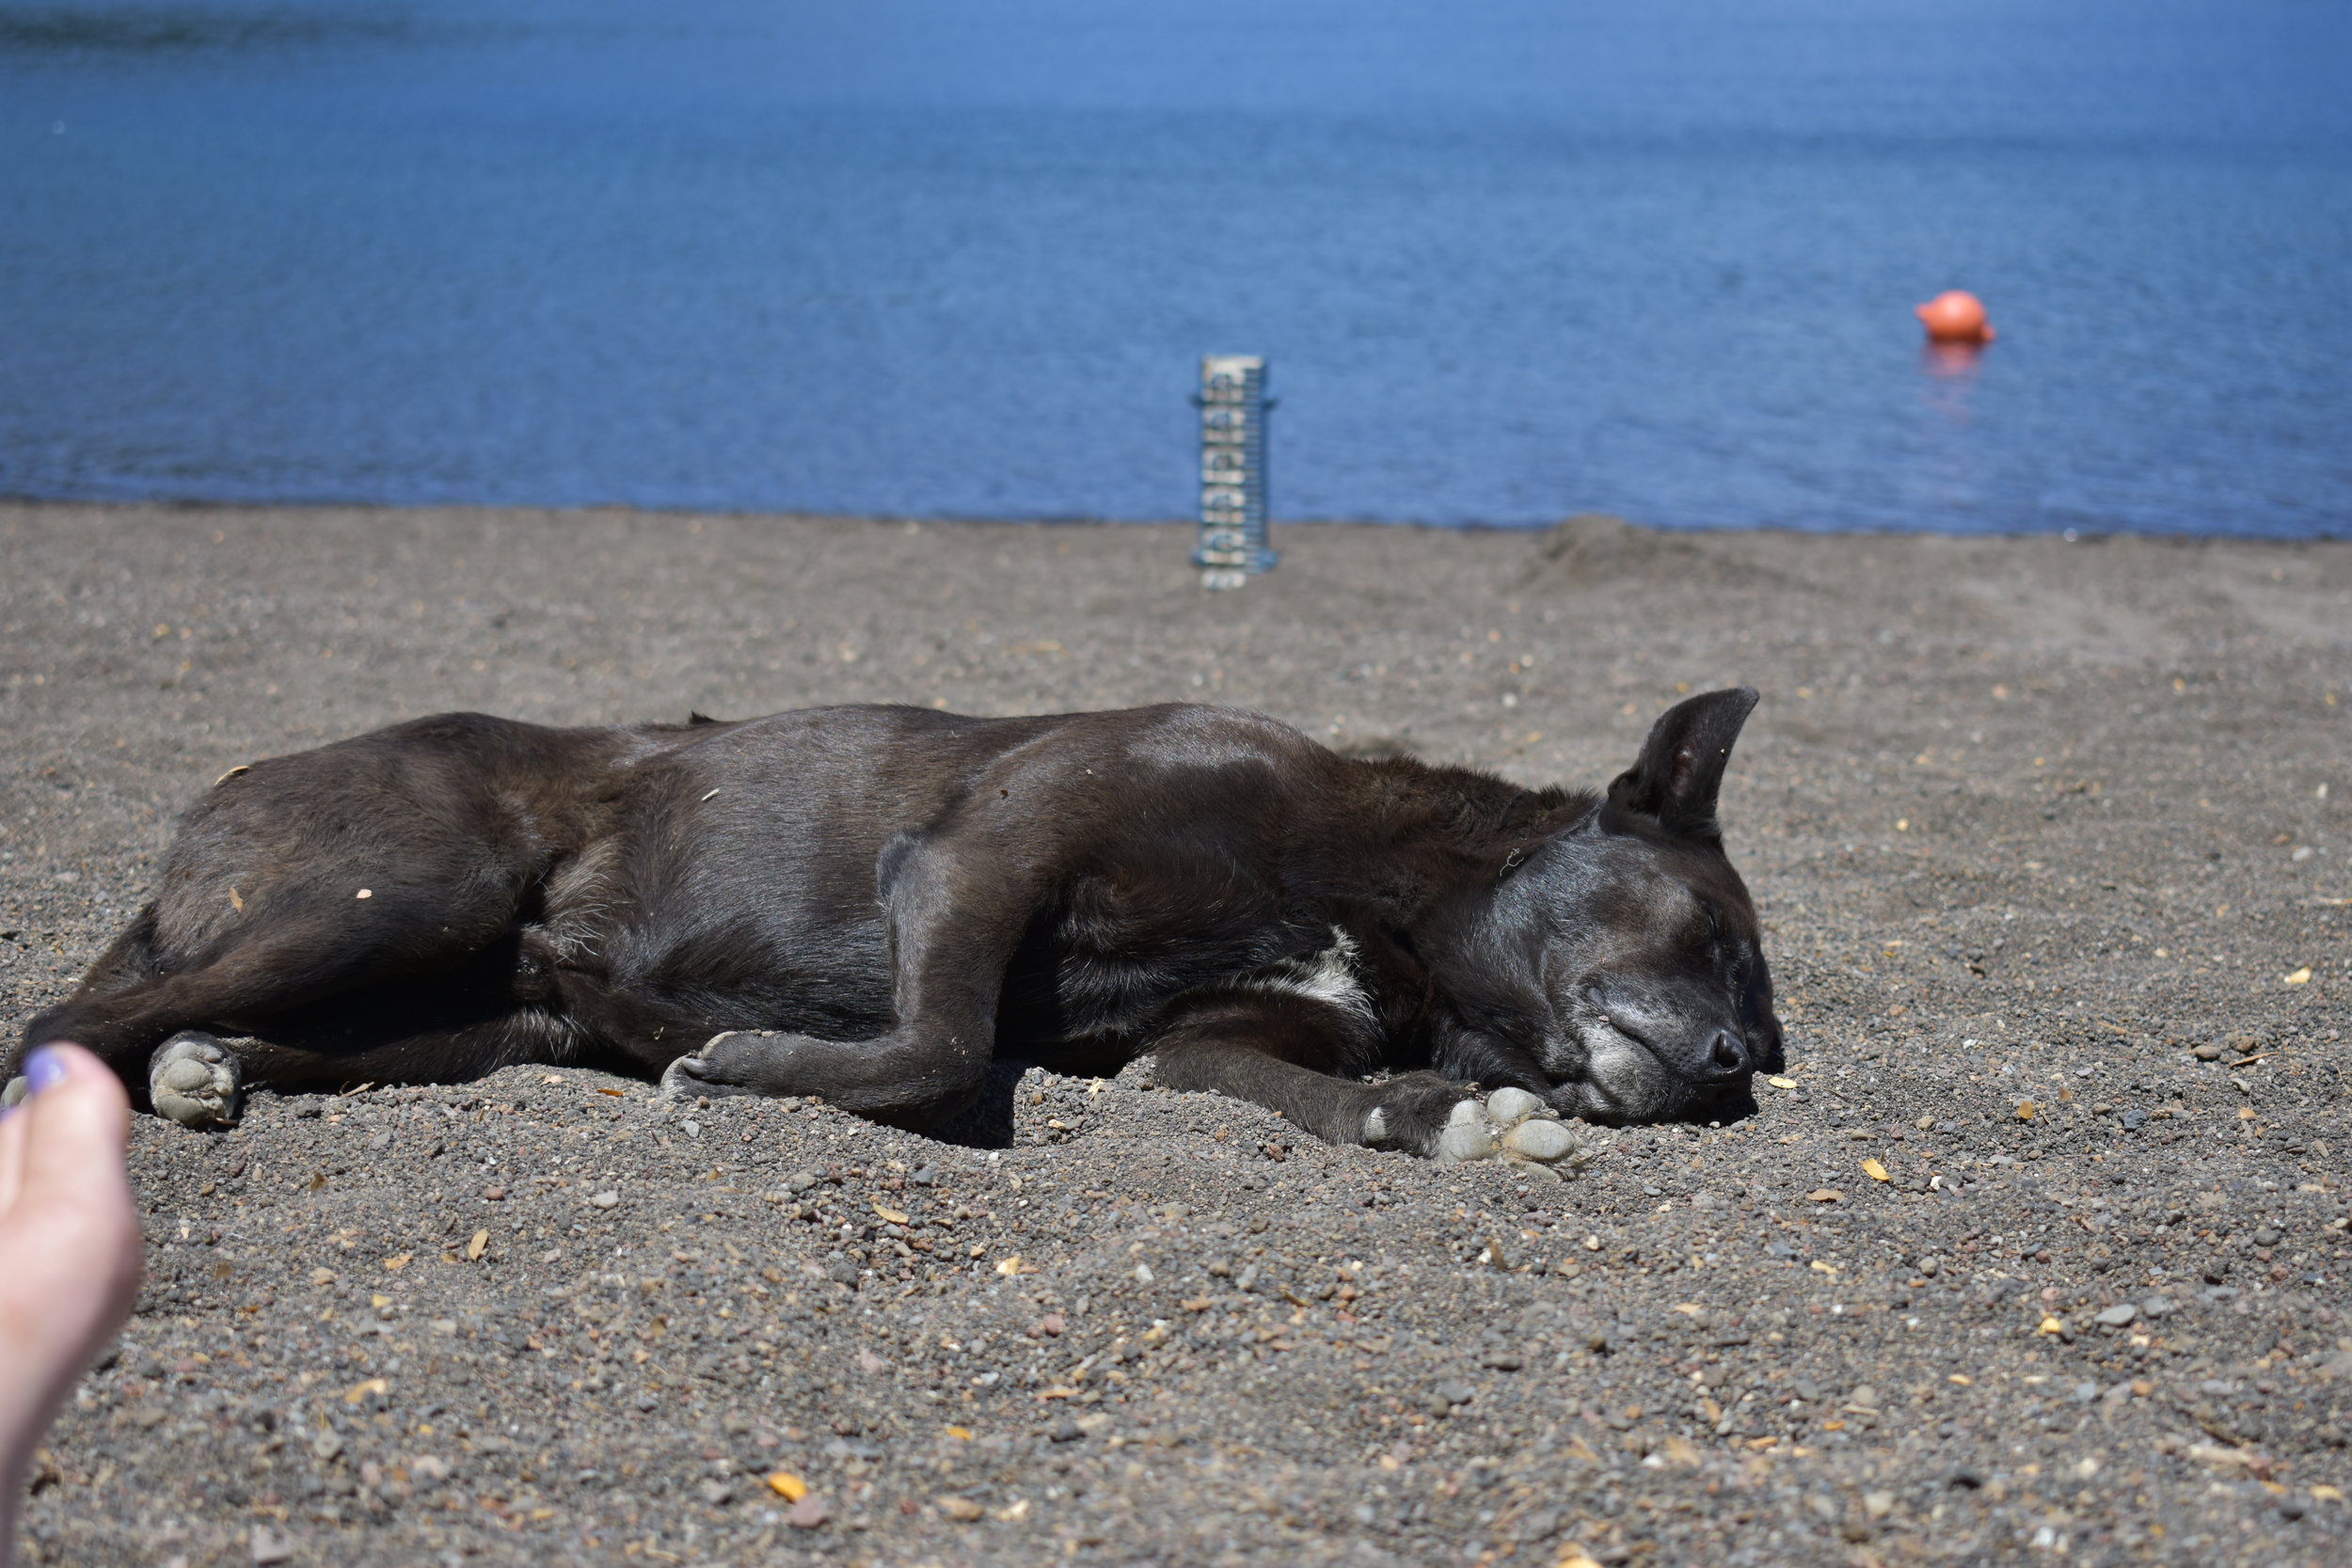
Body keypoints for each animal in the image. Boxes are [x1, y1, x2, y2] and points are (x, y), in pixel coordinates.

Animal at [4, 690, 1778, 1165]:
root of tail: (216, 801)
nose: (1729, 1071)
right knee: (59, 1024)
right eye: (1717, 935)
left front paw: (1442, 1111)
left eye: (1762, 1025)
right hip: (402, 892)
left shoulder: (1208, 1044)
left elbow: (1322, 1092)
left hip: (471, 1007)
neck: (1377, 880)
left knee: (202, 1028)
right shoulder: (983, 850)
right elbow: (941, 1045)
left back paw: (215, 1064)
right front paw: (742, 1069)